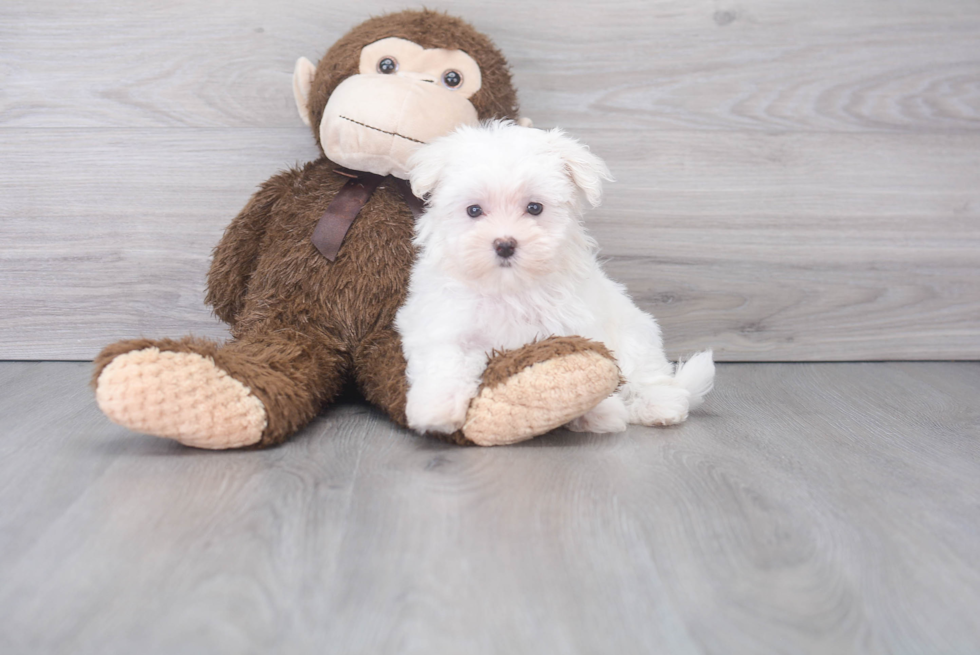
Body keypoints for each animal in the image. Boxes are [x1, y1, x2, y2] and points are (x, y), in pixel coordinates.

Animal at [394, 120, 716, 438]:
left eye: (534, 208)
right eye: (474, 210)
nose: (505, 244)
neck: (509, 287)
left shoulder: (575, 326)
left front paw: (599, 411)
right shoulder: (442, 323)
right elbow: (444, 360)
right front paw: (436, 408)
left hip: (635, 336)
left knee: (648, 377)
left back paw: (658, 406)